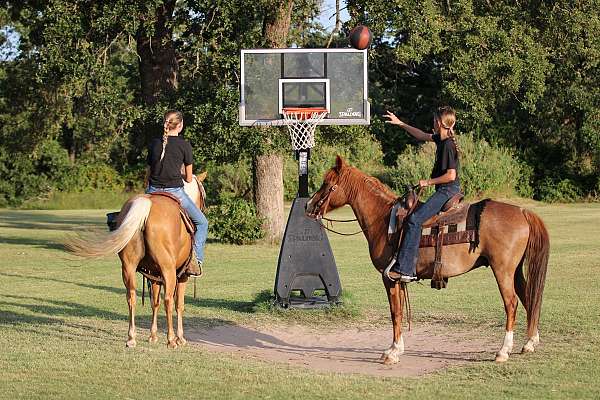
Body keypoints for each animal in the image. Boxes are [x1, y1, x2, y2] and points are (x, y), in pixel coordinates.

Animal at [65, 173, 206, 348]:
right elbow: (178, 305)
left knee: (131, 296)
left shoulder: (154, 276)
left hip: (128, 267)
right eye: (204, 195)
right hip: (168, 270)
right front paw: (180, 338)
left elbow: (154, 302)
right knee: (168, 300)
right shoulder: (182, 276)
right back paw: (171, 340)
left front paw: (153, 336)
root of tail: (146, 204)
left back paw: (131, 338)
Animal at [308, 158, 552, 364]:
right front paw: (396, 349)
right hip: (515, 270)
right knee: (528, 296)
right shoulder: (398, 280)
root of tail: (522, 212)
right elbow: (399, 312)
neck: (384, 220)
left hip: (502, 270)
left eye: (327, 183)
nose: (308, 205)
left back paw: (503, 351)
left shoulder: (389, 279)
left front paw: (392, 352)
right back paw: (530, 342)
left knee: (511, 303)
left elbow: (395, 312)